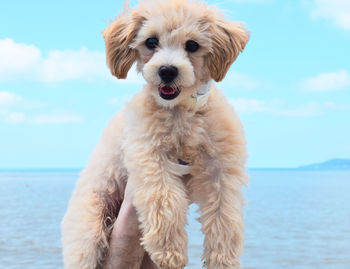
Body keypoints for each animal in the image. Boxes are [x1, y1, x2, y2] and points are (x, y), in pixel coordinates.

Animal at [62, 0, 249, 266]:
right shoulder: (150, 158)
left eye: (192, 45)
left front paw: (223, 260)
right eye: (151, 41)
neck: (180, 110)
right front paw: (169, 250)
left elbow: (225, 217)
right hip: (87, 229)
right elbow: (164, 200)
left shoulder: (221, 169)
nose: (167, 71)